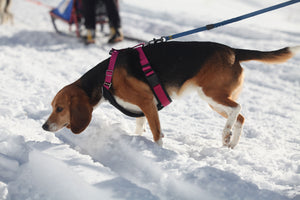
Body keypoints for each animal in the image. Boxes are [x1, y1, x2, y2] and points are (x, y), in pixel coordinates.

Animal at [41, 41, 298, 148]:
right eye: (53, 107)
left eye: (60, 108)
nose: (44, 126)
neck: (105, 77)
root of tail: (234, 51)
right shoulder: (143, 109)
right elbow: (140, 127)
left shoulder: (147, 103)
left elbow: (157, 134)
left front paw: (158, 152)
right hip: (214, 101)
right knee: (241, 117)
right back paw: (231, 142)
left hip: (211, 94)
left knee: (238, 109)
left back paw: (226, 134)